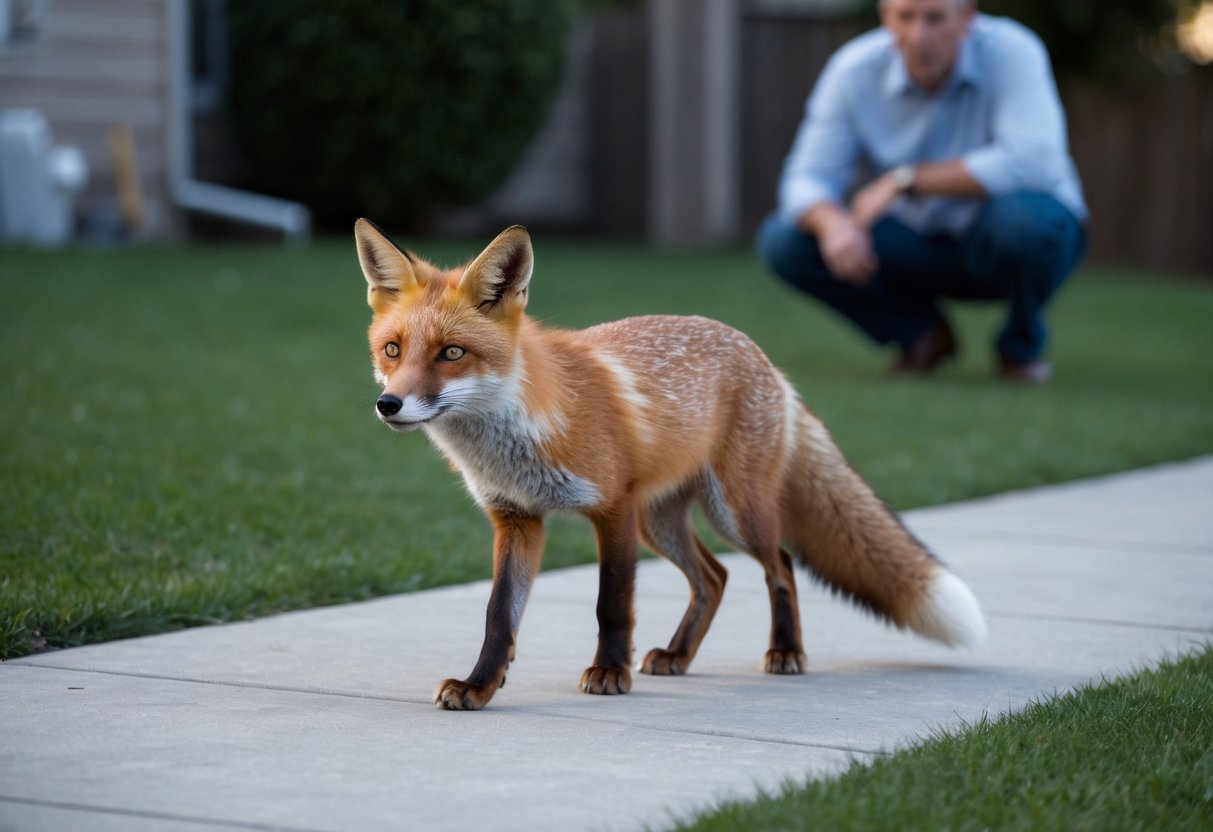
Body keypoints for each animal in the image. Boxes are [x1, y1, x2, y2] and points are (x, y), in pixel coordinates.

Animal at [354, 219, 987, 711]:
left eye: (451, 353)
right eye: (393, 350)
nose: (389, 405)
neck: (520, 431)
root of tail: (760, 355)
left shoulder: (613, 508)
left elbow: (611, 604)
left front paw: (610, 672)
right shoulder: (517, 518)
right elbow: (497, 617)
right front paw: (481, 685)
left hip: (732, 512)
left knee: (779, 564)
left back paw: (786, 651)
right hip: (661, 523)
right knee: (715, 576)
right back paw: (679, 654)